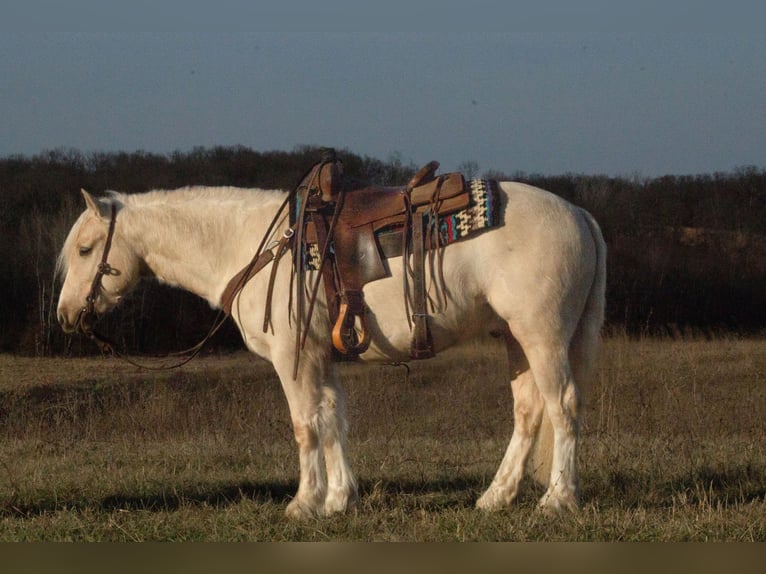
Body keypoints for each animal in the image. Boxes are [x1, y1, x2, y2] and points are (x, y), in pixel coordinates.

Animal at [57, 181, 608, 520]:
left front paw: (304, 503)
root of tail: (581, 214)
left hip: (542, 336)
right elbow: (331, 419)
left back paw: (558, 498)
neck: (252, 245)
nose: (66, 315)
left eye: (85, 250)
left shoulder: (293, 357)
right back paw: (497, 495)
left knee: (563, 407)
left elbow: (306, 425)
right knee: (529, 411)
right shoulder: (319, 355)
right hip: (518, 339)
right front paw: (340, 498)